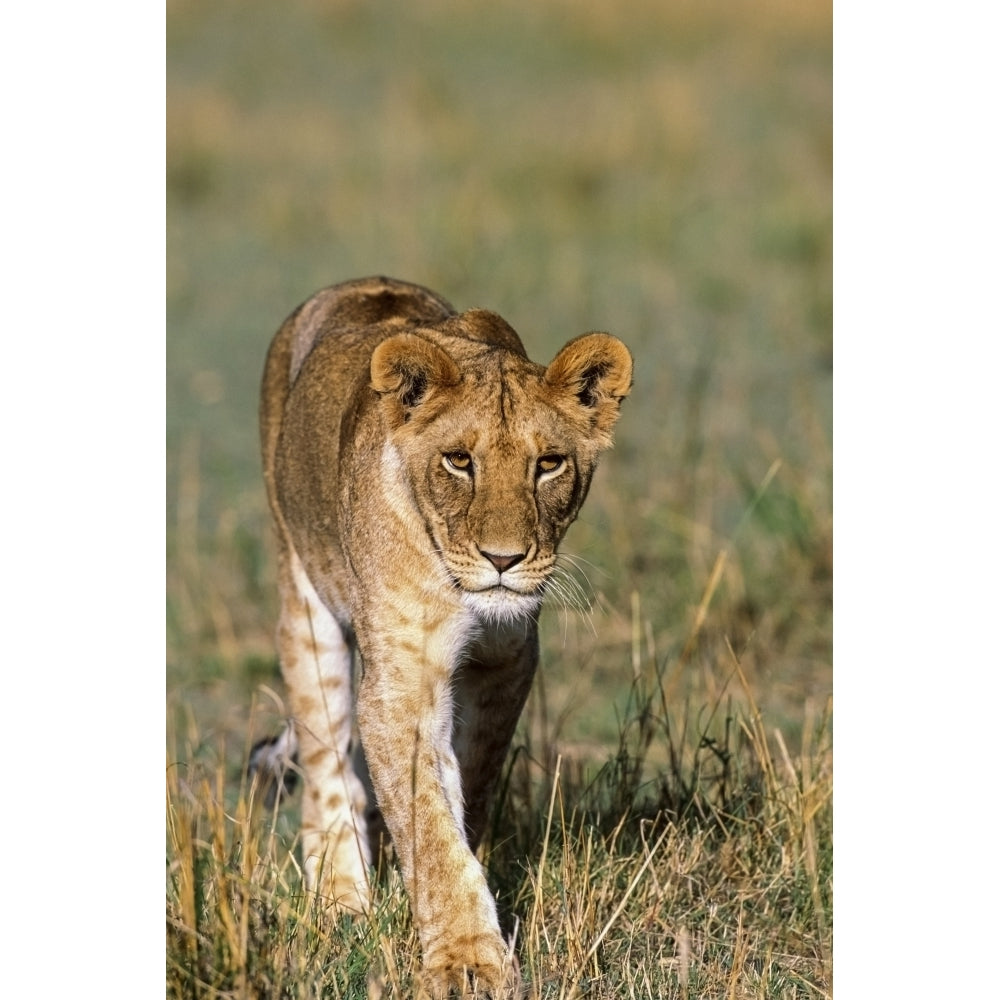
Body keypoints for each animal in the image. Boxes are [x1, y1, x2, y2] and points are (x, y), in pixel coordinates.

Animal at [250, 276, 632, 992]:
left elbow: (465, 790)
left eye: (549, 464)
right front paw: (466, 961)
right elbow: (428, 821)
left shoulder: (506, 661)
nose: (504, 560)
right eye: (459, 461)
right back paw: (340, 898)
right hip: (303, 596)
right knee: (326, 766)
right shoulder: (402, 684)